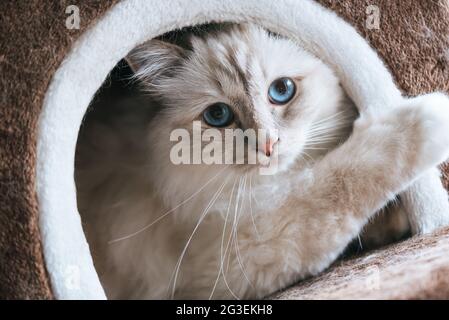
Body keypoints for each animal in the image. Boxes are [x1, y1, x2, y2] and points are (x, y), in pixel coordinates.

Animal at [75, 23, 448, 298]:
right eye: (218, 115)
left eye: (281, 90)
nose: (268, 144)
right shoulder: (243, 252)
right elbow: (341, 182)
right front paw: (431, 115)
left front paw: (395, 221)